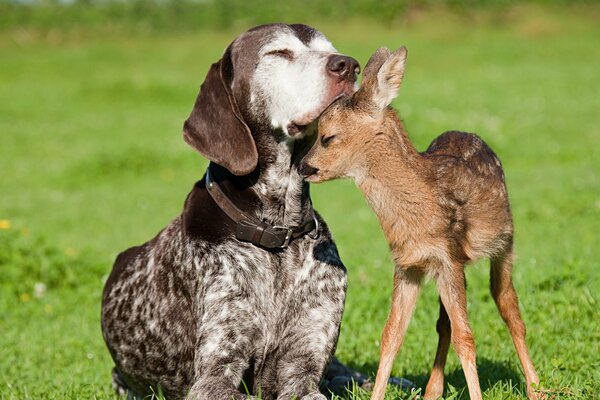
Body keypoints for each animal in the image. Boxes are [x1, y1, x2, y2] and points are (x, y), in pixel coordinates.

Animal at [101, 24, 358, 400]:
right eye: (278, 53)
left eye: (331, 48)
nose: (348, 64)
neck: (276, 234)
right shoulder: (214, 375)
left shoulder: (303, 366)